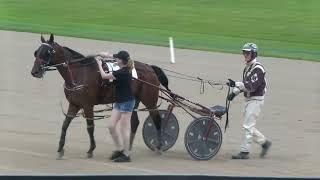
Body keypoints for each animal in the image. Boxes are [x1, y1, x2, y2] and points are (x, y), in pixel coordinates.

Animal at [30, 33, 170, 159]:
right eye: (36, 52)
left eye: (47, 52)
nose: (34, 72)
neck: (78, 73)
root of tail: (149, 68)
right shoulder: (74, 104)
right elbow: (65, 125)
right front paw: (60, 149)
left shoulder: (87, 105)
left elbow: (90, 127)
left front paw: (91, 150)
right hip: (133, 101)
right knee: (134, 122)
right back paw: (128, 147)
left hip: (150, 100)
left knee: (157, 119)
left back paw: (159, 146)